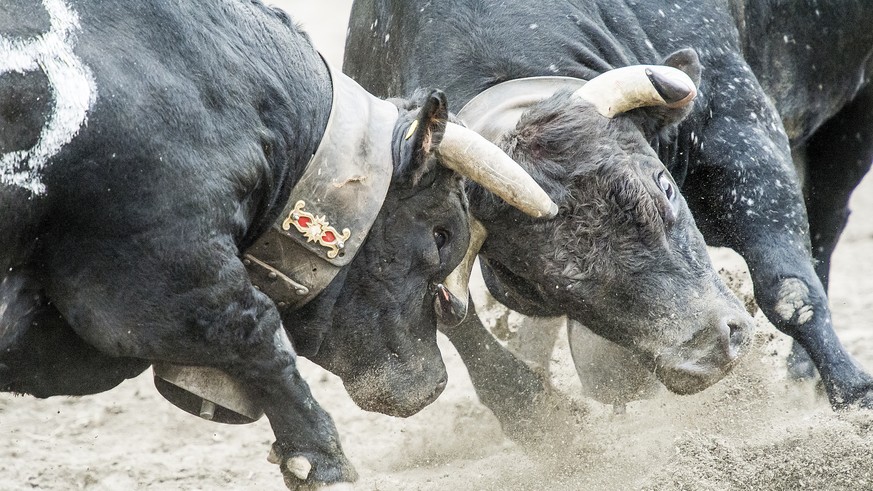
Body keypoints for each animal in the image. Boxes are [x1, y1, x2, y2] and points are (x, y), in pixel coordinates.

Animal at [344, 0, 872, 430]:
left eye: (664, 187)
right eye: (552, 278)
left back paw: (803, 372)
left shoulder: (747, 146)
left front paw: (854, 397)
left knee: (826, 223)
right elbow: (462, 332)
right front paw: (537, 422)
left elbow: (789, 291)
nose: (710, 348)